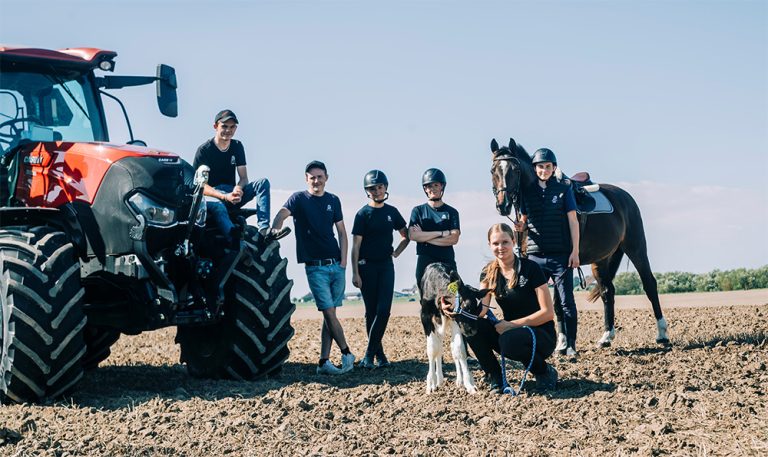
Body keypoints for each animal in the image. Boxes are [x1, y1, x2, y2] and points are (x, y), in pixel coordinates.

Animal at [420, 262, 486, 394]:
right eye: (467, 306)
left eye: (479, 309)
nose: (473, 330)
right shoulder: (425, 317)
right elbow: (432, 350)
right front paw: (431, 383)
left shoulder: (456, 320)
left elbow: (459, 350)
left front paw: (469, 384)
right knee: (438, 348)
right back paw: (439, 379)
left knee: (451, 350)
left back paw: (458, 380)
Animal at [492, 138, 664, 346]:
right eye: (493, 170)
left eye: (515, 170)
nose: (503, 205)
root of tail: (625, 197)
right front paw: (561, 341)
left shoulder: (562, 263)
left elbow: (558, 302)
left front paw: (563, 343)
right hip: (601, 259)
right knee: (607, 291)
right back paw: (606, 337)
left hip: (636, 247)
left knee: (649, 284)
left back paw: (662, 334)